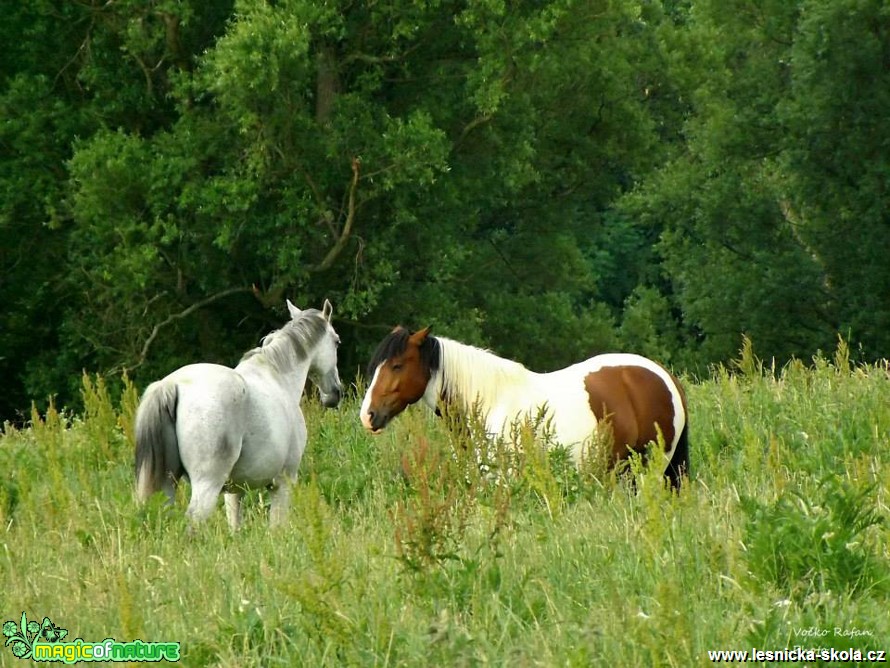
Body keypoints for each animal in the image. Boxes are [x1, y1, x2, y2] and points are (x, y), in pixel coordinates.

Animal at [137, 300, 342, 528]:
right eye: (337, 342)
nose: (335, 394)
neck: (278, 377)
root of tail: (171, 385)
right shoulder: (283, 483)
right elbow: (277, 527)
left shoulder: (233, 491)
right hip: (207, 485)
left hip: (166, 486)